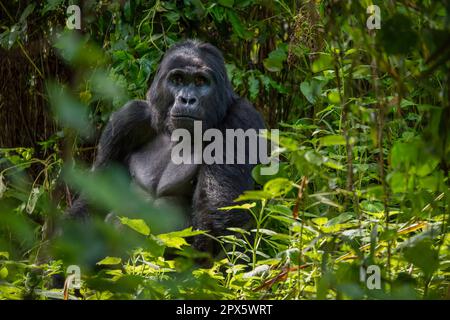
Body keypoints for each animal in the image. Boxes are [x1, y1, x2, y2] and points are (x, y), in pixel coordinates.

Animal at [68, 39, 266, 255]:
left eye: (200, 81)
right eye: (177, 79)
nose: (187, 99)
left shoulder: (240, 120)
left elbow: (220, 225)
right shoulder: (127, 119)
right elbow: (94, 200)